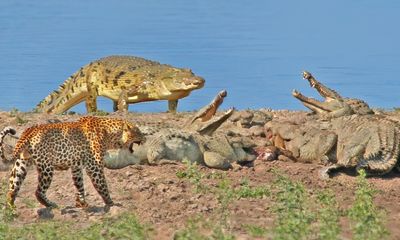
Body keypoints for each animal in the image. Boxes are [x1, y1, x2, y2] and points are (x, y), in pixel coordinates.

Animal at [0, 116, 144, 210]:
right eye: (138, 131)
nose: (145, 138)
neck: (111, 134)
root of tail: (28, 131)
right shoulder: (95, 166)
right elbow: (102, 185)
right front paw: (110, 202)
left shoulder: (76, 167)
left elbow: (79, 185)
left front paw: (81, 203)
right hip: (47, 167)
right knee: (38, 191)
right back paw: (51, 205)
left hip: (21, 163)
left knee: (12, 188)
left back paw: (11, 206)